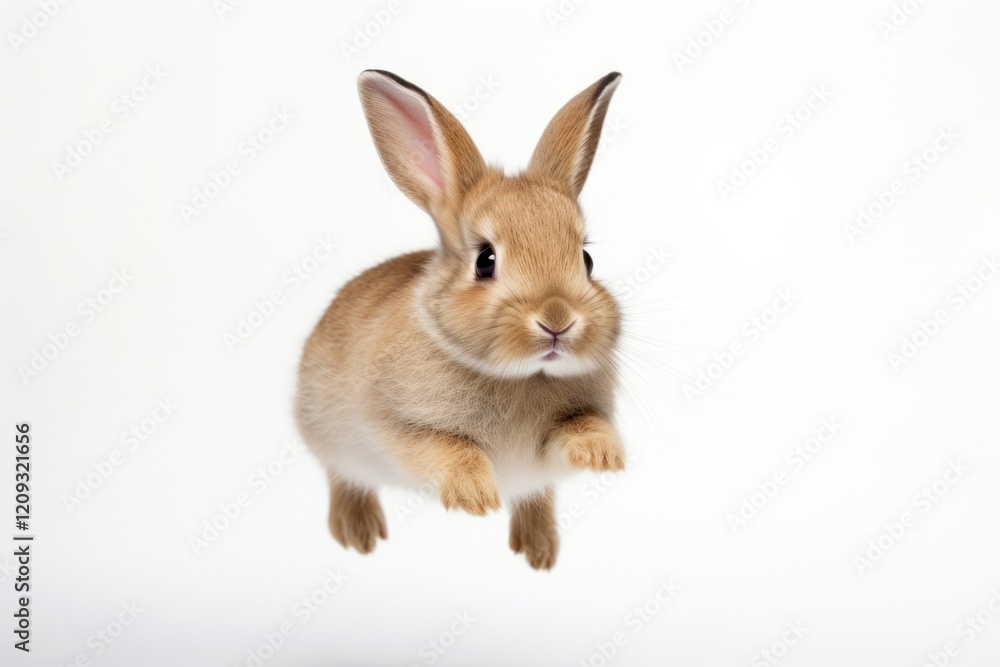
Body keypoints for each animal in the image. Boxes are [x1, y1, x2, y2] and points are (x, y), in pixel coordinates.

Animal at [295, 69, 624, 570]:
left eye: (586, 260)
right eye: (485, 261)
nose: (557, 320)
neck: (521, 375)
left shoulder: (554, 441)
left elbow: (579, 428)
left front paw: (605, 456)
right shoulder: (397, 428)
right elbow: (448, 450)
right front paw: (477, 497)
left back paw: (538, 551)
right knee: (344, 479)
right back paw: (358, 535)